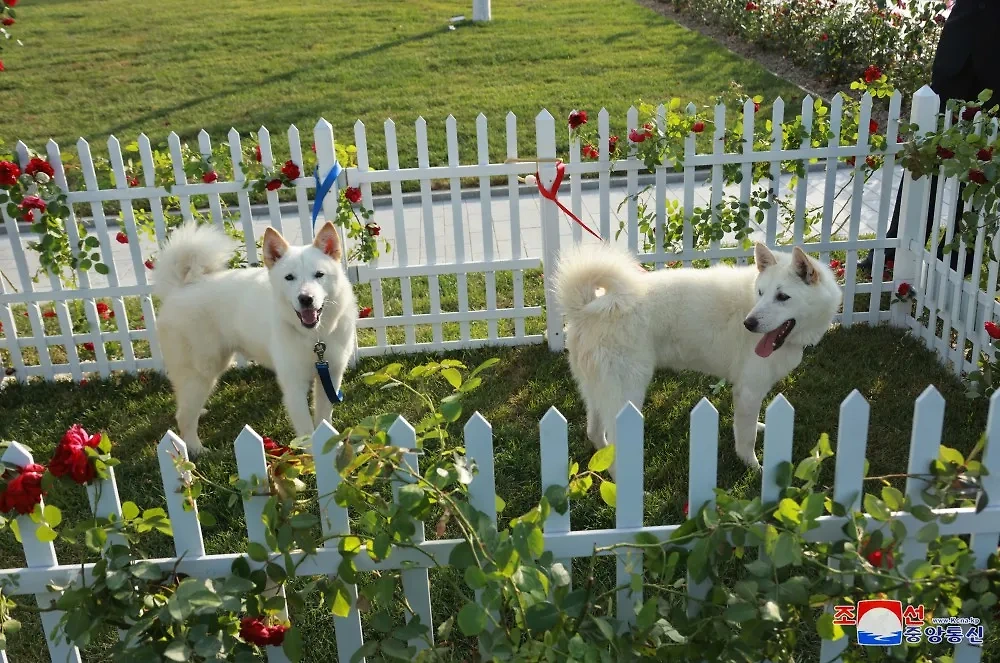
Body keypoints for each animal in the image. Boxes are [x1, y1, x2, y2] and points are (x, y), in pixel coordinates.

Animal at [154, 223, 358, 456]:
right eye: (289, 277)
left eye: (319, 274)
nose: (305, 299)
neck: (314, 337)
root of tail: (180, 287)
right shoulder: (294, 384)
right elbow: (306, 430)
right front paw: (312, 457)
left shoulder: (330, 376)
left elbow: (324, 420)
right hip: (201, 372)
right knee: (183, 415)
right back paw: (196, 449)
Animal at [556, 244, 844, 472]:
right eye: (761, 293)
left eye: (782, 296)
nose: (748, 323)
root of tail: (587, 309)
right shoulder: (749, 390)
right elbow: (746, 438)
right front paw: (753, 467)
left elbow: (748, 426)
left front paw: (760, 429)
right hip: (626, 395)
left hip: (596, 390)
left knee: (595, 432)